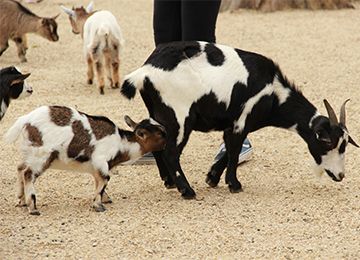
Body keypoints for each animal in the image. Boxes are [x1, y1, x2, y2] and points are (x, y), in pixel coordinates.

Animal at [3, 105, 167, 215]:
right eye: (160, 134)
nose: (169, 139)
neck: (121, 142)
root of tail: (26, 120)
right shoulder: (101, 161)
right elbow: (105, 180)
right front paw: (98, 205)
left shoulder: (95, 168)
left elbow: (99, 182)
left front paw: (105, 199)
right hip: (41, 156)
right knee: (28, 174)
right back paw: (33, 208)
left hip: (30, 153)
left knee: (20, 168)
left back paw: (22, 200)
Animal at [121, 41, 360, 199]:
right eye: (329, 143)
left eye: (345, 144)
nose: (340, 175)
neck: (274, 92)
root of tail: (144, 72)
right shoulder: (241, 121)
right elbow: (234, 151)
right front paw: (234, 184)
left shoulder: (234, 124)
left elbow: (228, 150)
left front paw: (213, 178)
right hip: (179, 116)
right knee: (171, 153)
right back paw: (187, 190)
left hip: (158, 115)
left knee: (157, 145)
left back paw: (169, 181)